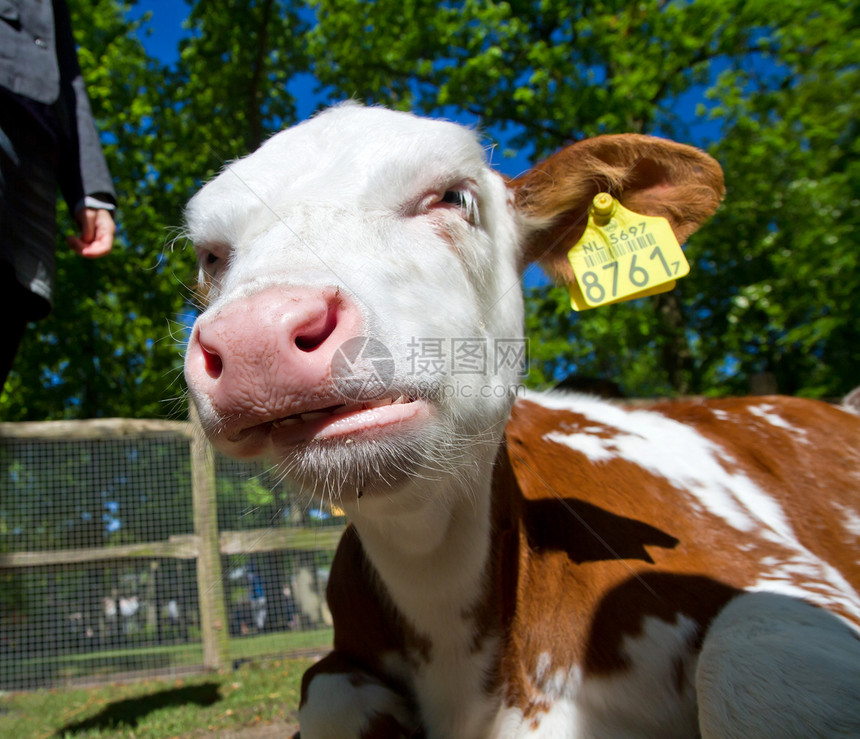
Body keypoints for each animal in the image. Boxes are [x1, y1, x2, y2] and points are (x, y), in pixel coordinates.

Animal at [183, 101, 860, 736]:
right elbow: (326, 696)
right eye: (210, 256)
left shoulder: (779, 571)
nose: (255, 336)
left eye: (454, 197)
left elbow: (750, 653)